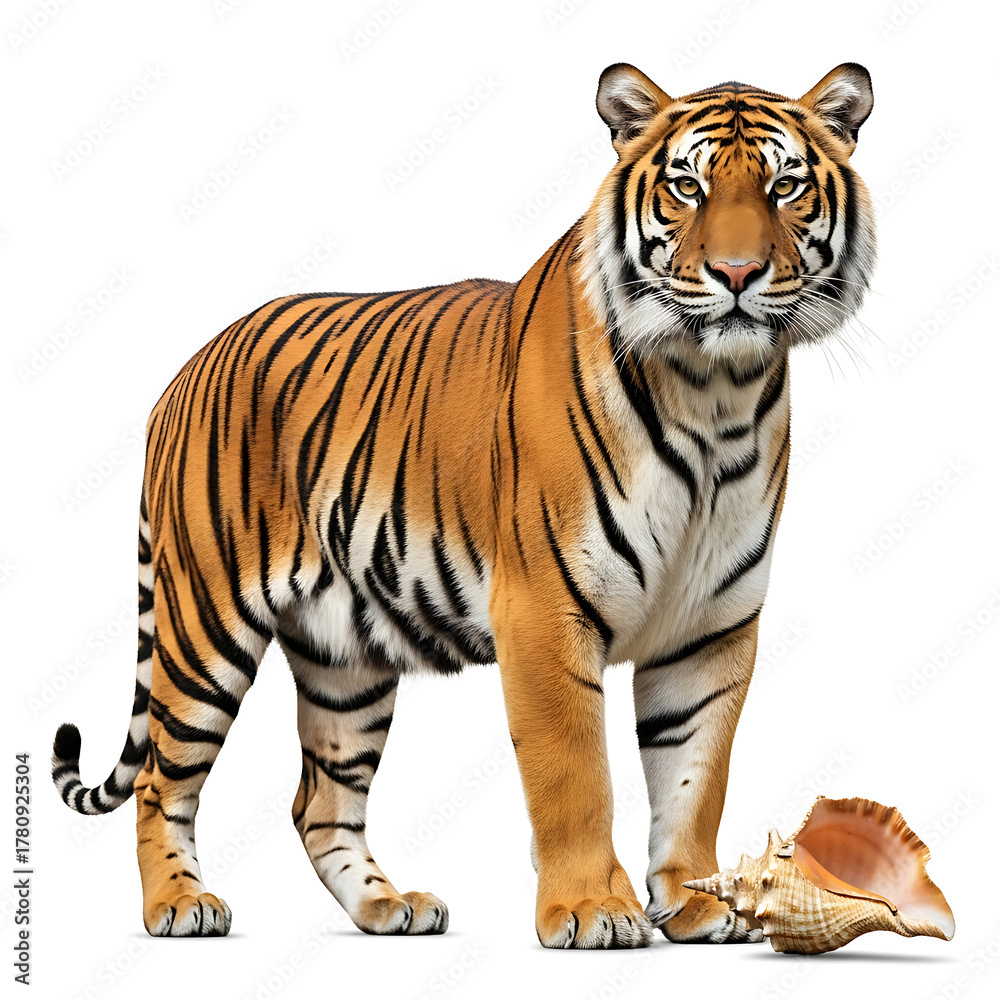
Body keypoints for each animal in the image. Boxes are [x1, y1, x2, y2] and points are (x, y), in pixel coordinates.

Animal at [51, 61, 876, 948]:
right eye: (687, 187)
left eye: (786, 185)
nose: (736, 275)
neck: (714, 395)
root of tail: (181, 374)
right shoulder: (545, 611)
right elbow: (576, 776)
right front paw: (591, 910)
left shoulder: (712, 628)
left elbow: (695, 775)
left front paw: (695, 902)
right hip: (204, 627)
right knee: (161, 778)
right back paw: (179, 904)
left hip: (346, 661)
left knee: (320, 802)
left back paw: (388, 907)